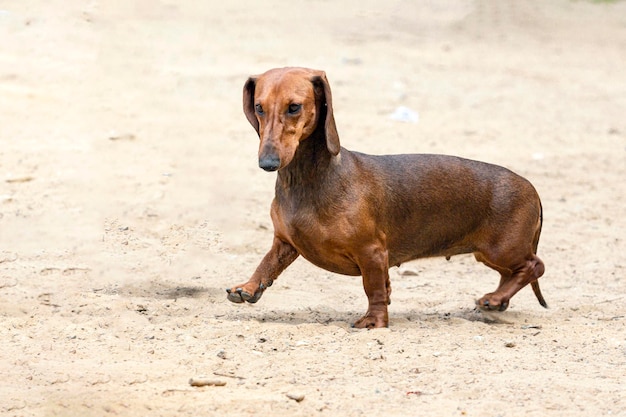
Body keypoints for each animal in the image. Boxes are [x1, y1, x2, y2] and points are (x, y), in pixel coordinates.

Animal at [225, 66, 544, 328]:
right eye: (259, 107)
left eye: (294, 107)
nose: (267, 162)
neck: (309, 180)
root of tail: (532, 188)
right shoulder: (285, 242)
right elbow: (268, 263)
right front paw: (249, 287)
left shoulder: (372, 252)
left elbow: (374, 289)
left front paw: (374, 320)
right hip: (491, 255)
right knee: (514, 273)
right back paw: (499, 299)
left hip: (501, 249)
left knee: (535, 266)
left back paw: (495, 298)